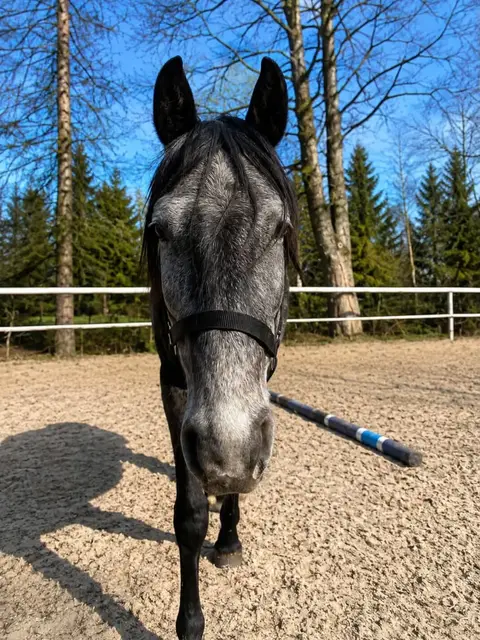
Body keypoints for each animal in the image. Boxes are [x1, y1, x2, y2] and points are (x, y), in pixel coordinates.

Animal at [143, 55, 298, 640]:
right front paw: (190, 622)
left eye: (280, 228)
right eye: (159, 231)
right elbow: (188, 515)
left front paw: (228, 537)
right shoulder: (172, 383)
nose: (225, 452)